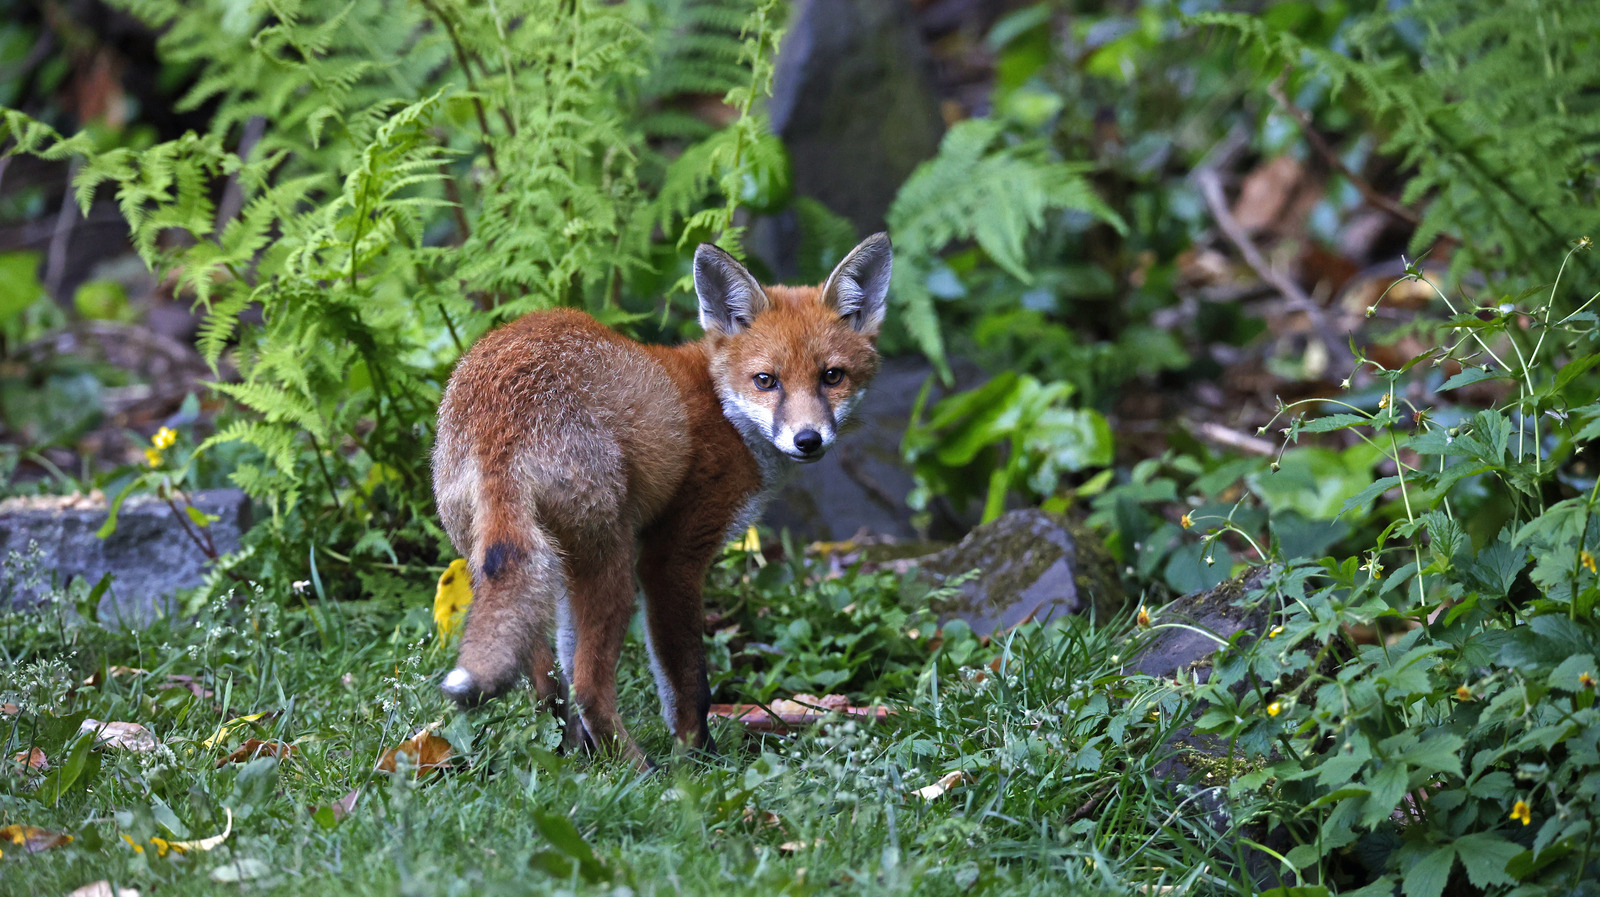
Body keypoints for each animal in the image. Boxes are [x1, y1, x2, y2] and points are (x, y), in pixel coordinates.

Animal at [431, 233, 892, 766]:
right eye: (766, 380)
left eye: (832, 376)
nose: (808, 440)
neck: (723, 410)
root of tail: (500, 422)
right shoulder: (671, 559)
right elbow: (690, 684)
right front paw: (699, 760)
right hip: (611, 568)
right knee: (588, 685)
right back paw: (637, 770)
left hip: (526, 565)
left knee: (548, 682)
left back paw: (572, 757)